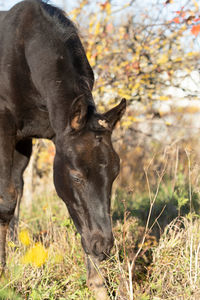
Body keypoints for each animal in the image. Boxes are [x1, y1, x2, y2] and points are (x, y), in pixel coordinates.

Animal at [0, 1, 126, 298]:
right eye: (77, 176)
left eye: (114, 175)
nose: (104, 247)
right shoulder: (3, 124)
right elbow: (5, 200)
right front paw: (1, 274)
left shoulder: (42, 136)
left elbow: (77, 216)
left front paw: (98, 285)